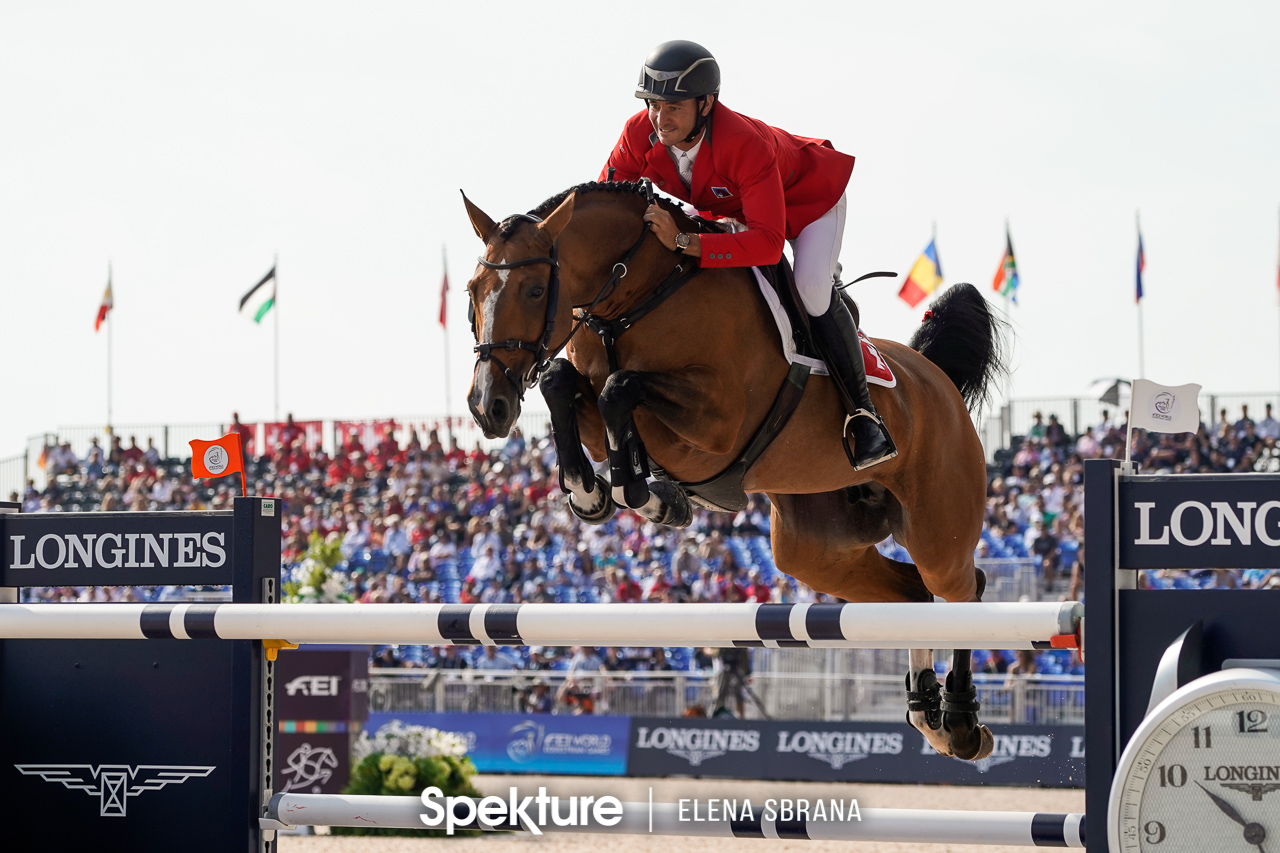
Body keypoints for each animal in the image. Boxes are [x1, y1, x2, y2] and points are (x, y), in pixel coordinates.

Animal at [460, 180, 1008, 758]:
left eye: (534, 291)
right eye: (473, 291)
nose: (487, 406)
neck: (637, 297)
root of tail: (937, 379)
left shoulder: (714, 428)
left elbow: (619, 388)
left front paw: (651, 497)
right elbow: (562, 382)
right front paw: (589, 491)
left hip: (937, 527)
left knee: (962, 588)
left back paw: (962, 724)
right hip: (816, 551)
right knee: (913, 595)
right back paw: (929, 715)